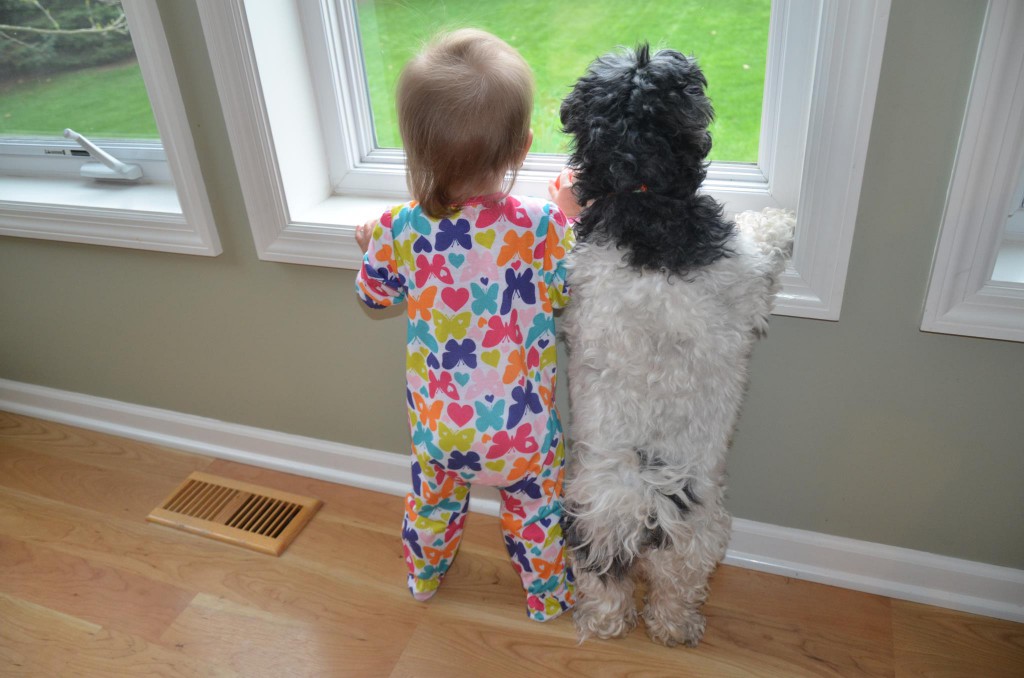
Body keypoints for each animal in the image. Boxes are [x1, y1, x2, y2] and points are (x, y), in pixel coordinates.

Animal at [561, 43, 790, 647]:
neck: (642, 198)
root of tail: (641, 497)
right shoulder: (743, 273)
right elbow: (762, 242)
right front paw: (780, 221)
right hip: (702, 531)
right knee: (676, 587)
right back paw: (678, 626)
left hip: (590, 523)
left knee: (607, 582)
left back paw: (607, 621)